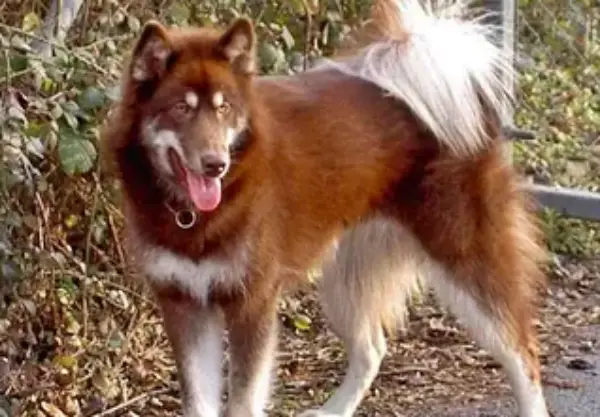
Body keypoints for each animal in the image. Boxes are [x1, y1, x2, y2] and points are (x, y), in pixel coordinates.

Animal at [101, 0, 552, 416]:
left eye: (223, 107)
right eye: (182, 108)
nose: (216, 164)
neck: (195, 214)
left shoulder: (252, 302)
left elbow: (243, 400)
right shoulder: (184, 304)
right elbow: (199, 402)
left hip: (467, 262)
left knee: (523, 353)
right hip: (345, 278)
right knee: (372, 349)